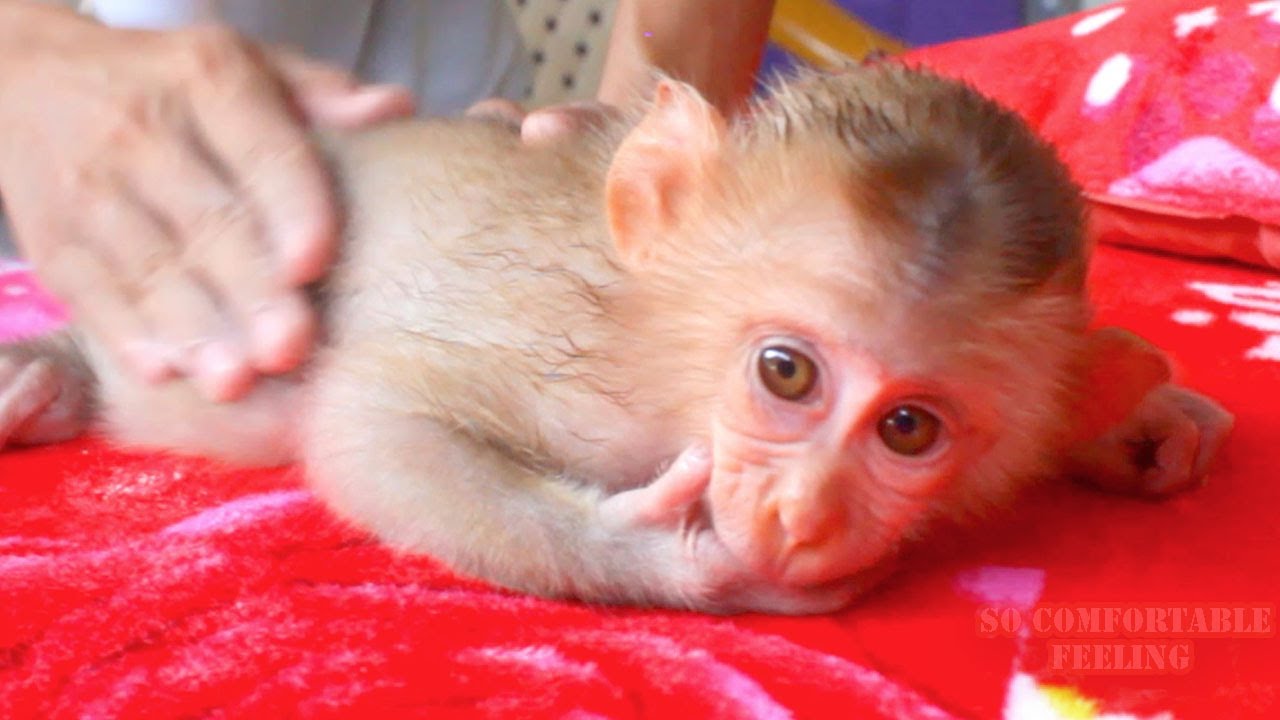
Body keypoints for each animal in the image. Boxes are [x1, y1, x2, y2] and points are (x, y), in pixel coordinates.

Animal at [0, 64, 1233, 614]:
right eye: (786, 372)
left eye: (909, 430)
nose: (803, 516)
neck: (674, 363)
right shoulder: (582, 374)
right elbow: (367, 424)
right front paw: (682, 562)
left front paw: (1137, 419)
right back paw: (51, 373)